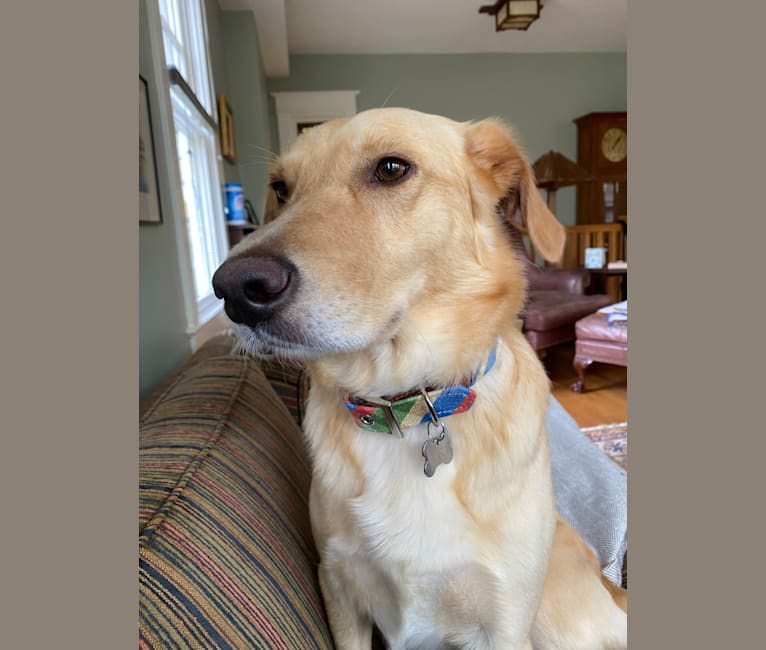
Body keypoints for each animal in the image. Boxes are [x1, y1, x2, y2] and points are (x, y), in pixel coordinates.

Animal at [212, 109, 632, 644]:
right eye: (281, 189)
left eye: (391, 168)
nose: (232, 289)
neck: (409, 404)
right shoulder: (340, 591)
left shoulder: (504, 622)